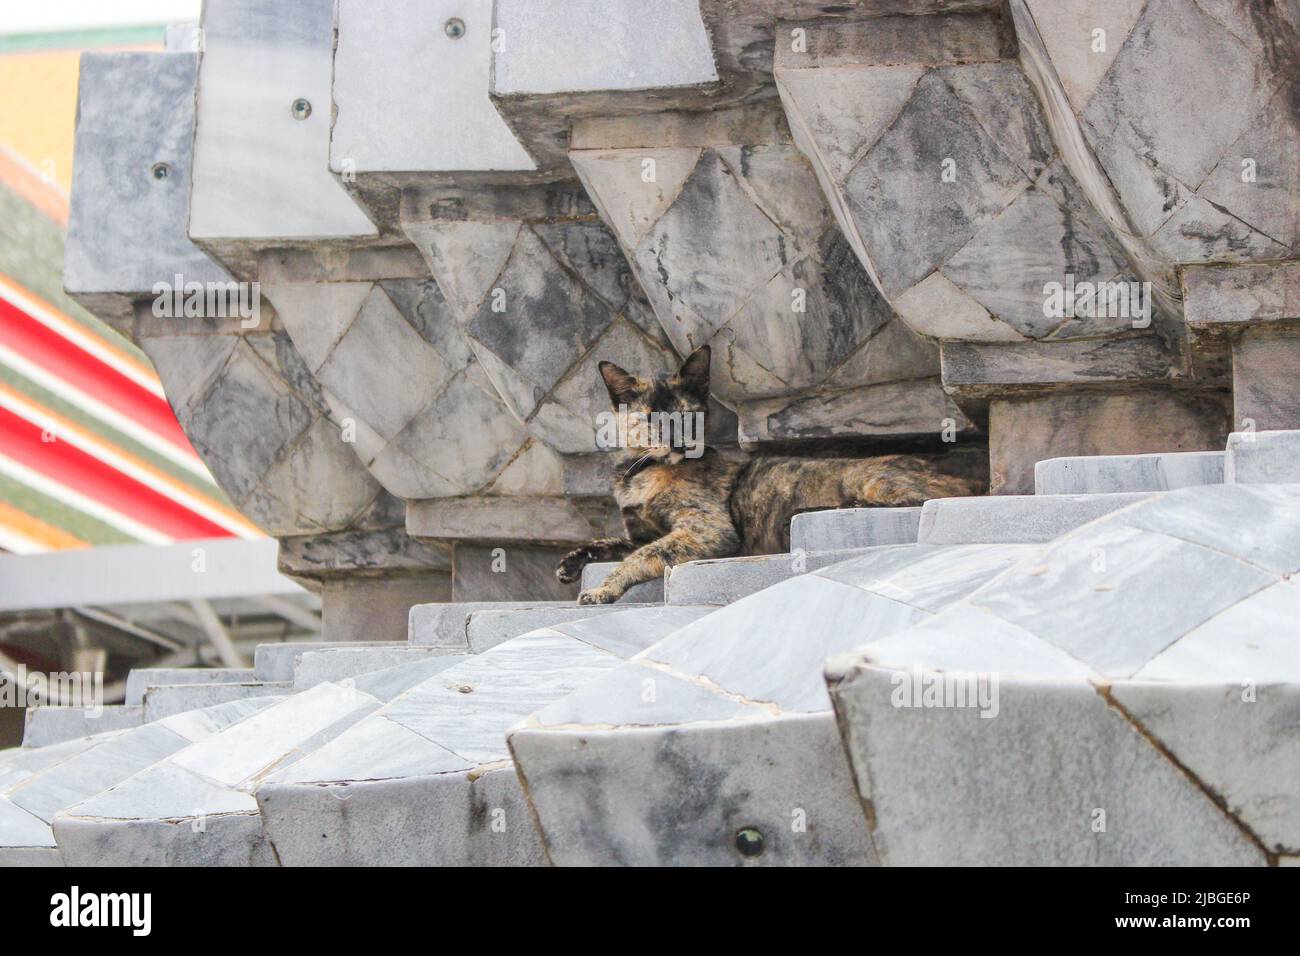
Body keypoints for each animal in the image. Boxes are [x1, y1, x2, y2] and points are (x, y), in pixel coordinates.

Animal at [556, 345, 982, 606]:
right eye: (651, 419)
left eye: (685, 415)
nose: (676, 442)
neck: (644, 472)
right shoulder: (641, 532)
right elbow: (612, 542)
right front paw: (572, 562)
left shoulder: (705, 530)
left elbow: (642, 556)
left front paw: (602, 588)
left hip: (868, 478)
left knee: (917, 500)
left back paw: (821, 509)